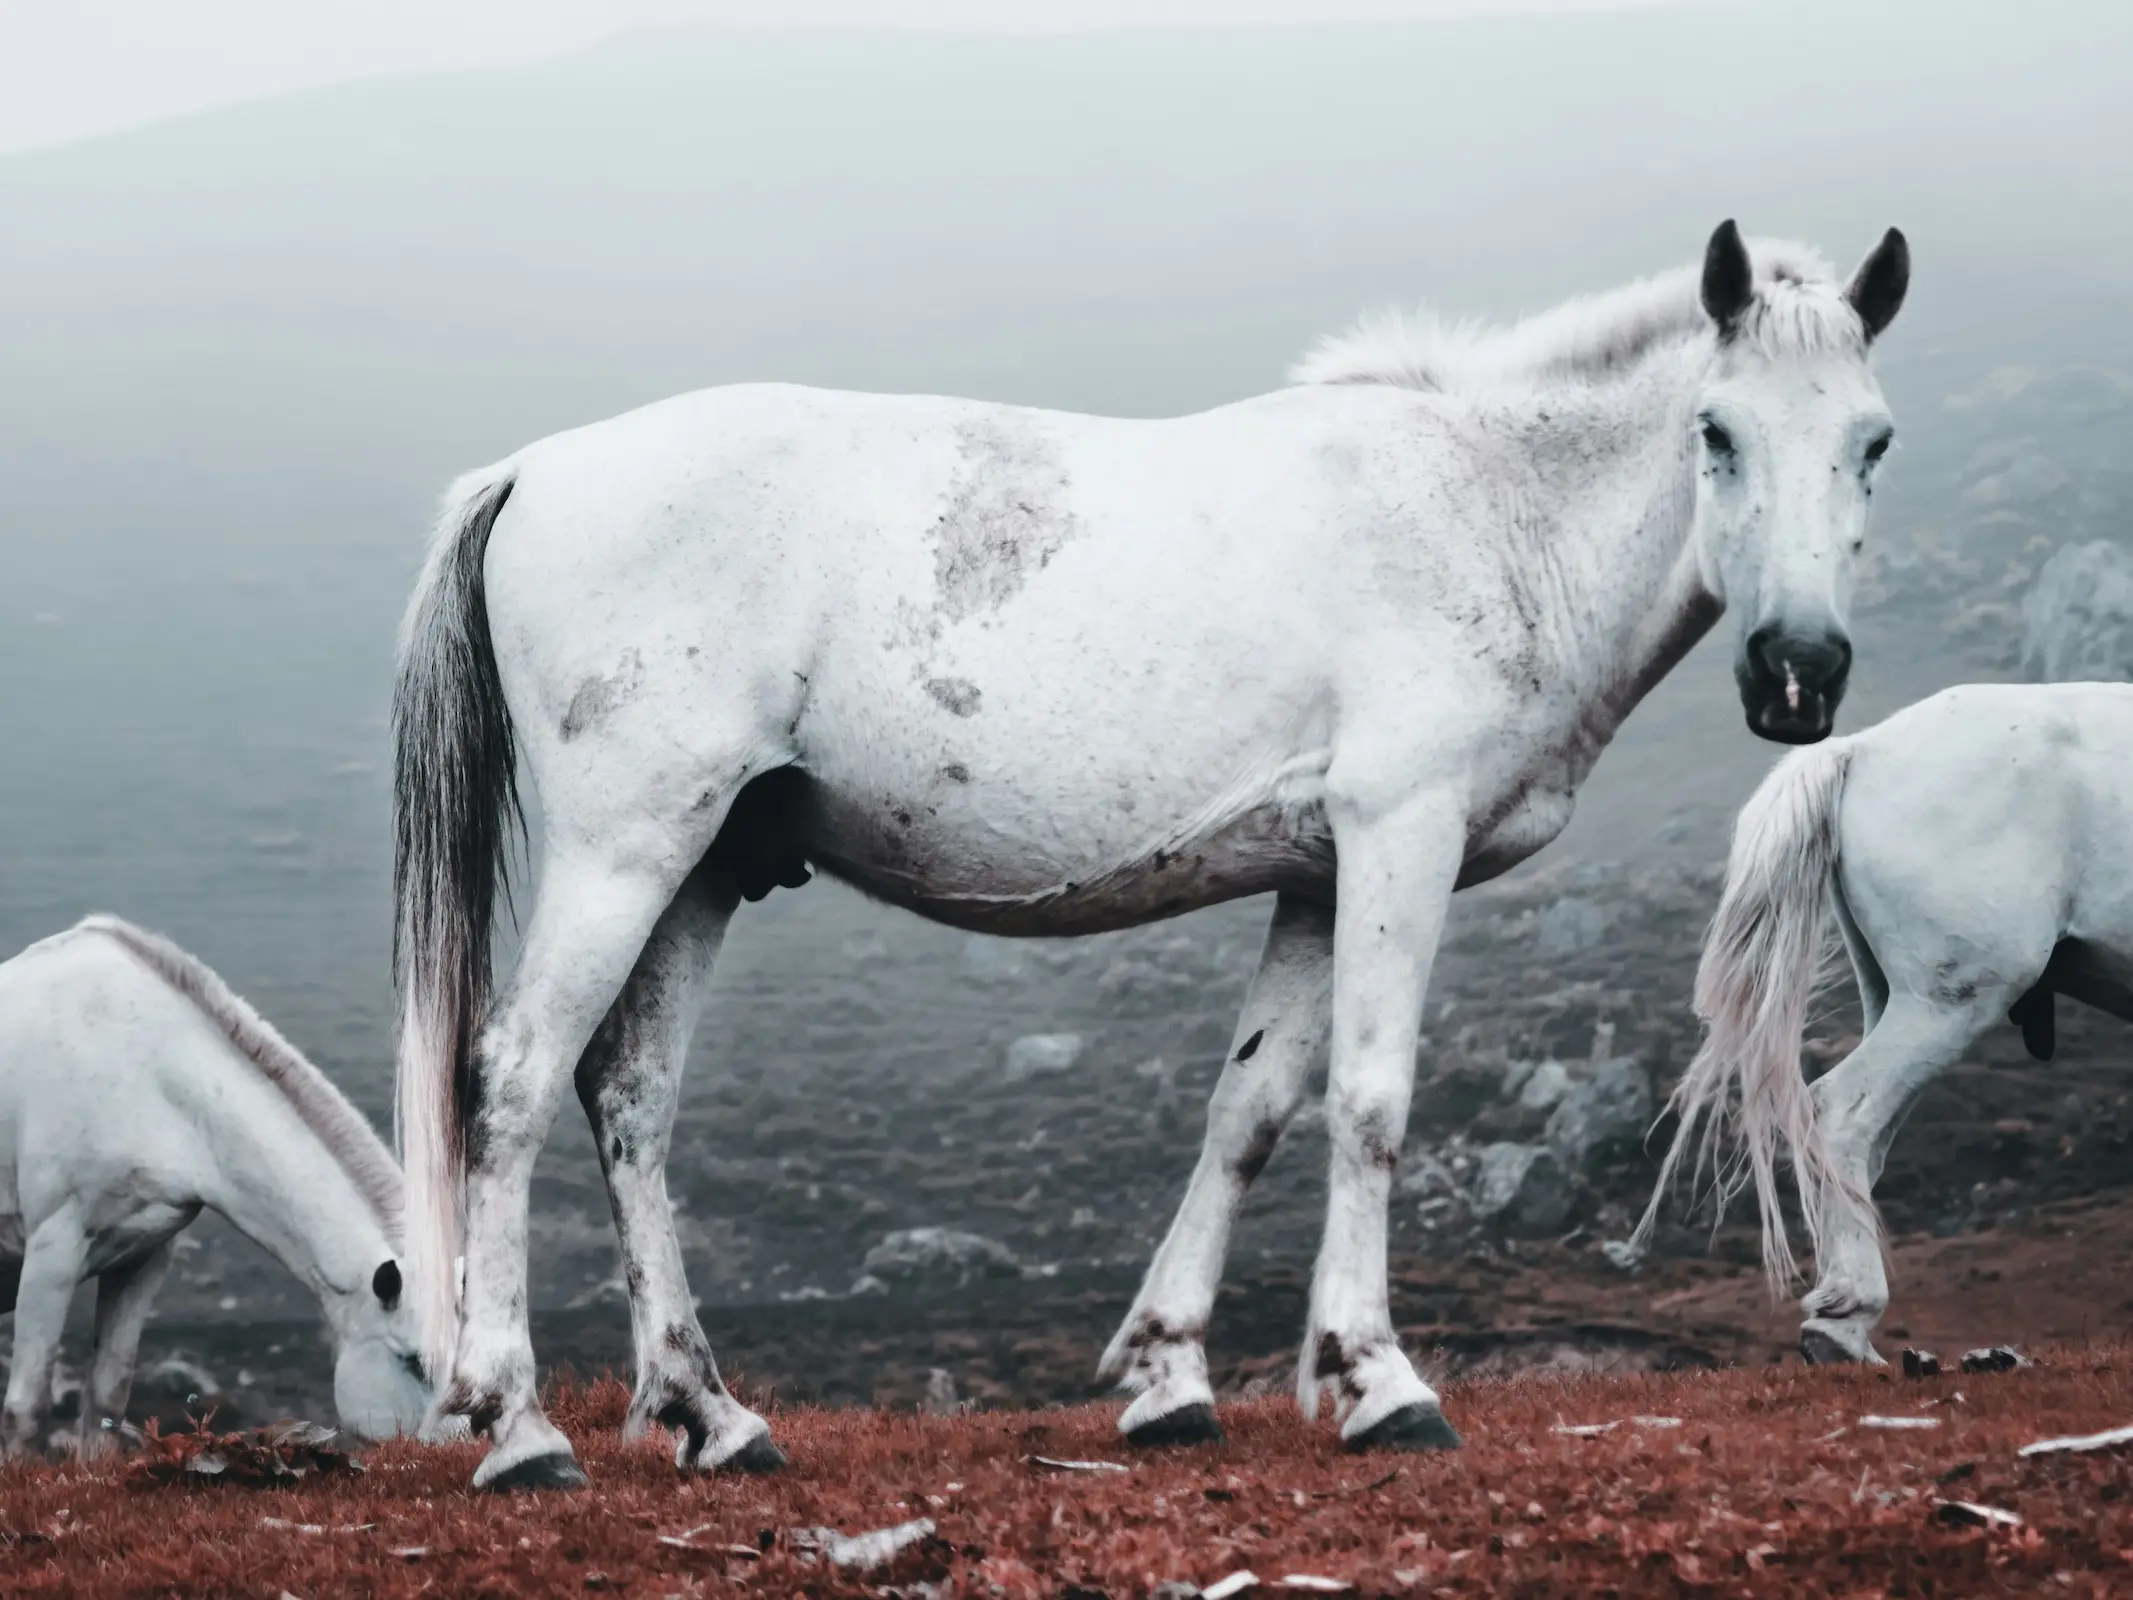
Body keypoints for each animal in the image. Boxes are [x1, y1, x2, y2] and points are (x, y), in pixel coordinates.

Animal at [0, 913, 432, 1450]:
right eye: (413, 1362)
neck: (144, 1074)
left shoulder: (142, 1256)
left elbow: (106, 1399)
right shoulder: (52, 1251)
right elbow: (24, 1411)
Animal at [396, 216, 1919, 1493]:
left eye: (1874, 441)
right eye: (1717, 431)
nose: (1797, 672)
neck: (1489, 512)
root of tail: (534, 469)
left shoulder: (1316, 875)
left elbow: (1250, 1110)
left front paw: (1171, 1375)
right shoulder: (1400, 837)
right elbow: (1371, 1101)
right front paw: (1382, 1382)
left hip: (702, 868)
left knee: (630, 1098)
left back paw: (712, 1415)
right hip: (626, 850)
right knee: (512, 1082)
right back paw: (519, 1425)